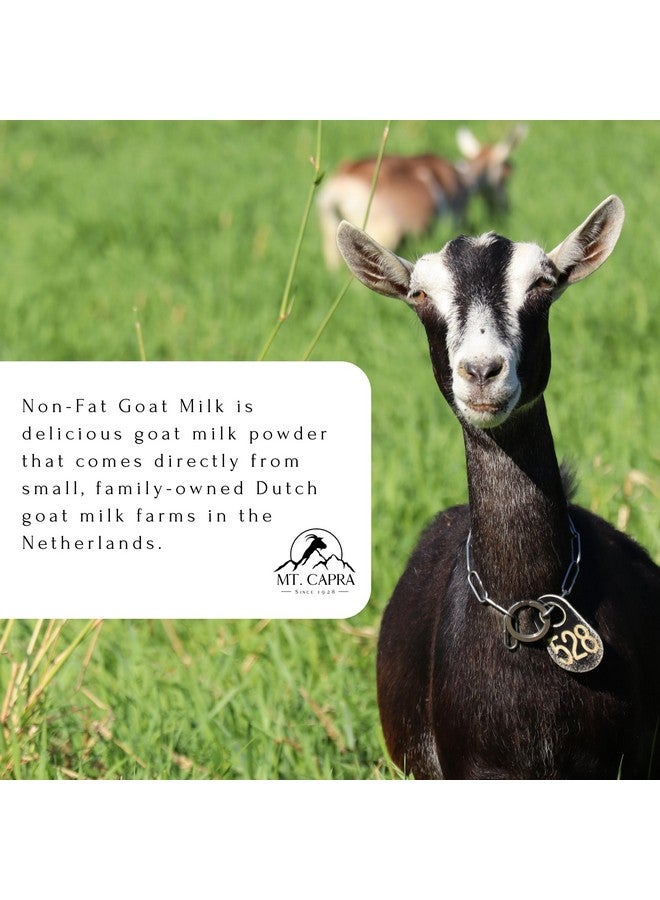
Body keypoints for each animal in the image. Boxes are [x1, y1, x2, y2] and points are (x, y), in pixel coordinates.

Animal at [318, 125, 527, 270]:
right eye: (506, 173)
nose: (506, 208)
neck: (464, 178)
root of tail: (341, 186)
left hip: (331, 228)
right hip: (381, 233)